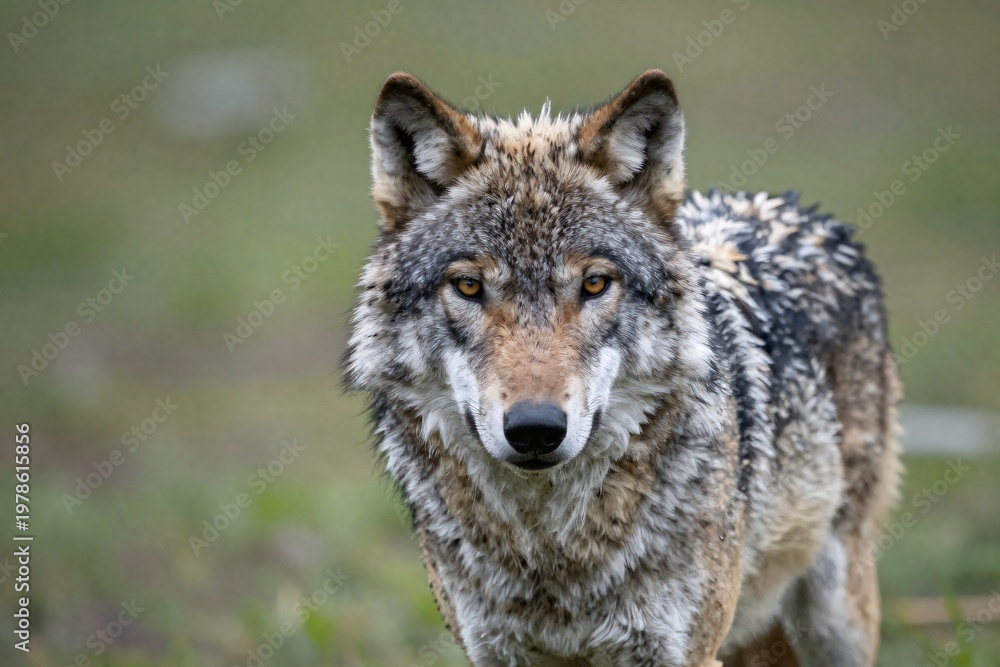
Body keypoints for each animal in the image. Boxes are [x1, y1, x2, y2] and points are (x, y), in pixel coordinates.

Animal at [346, 70, 901, 666]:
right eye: (469, 286)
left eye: (594, 284)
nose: (535, 429)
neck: (552, 548)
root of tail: (795, 208)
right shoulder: (494, 652)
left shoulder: (679, 652)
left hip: (837, 617)